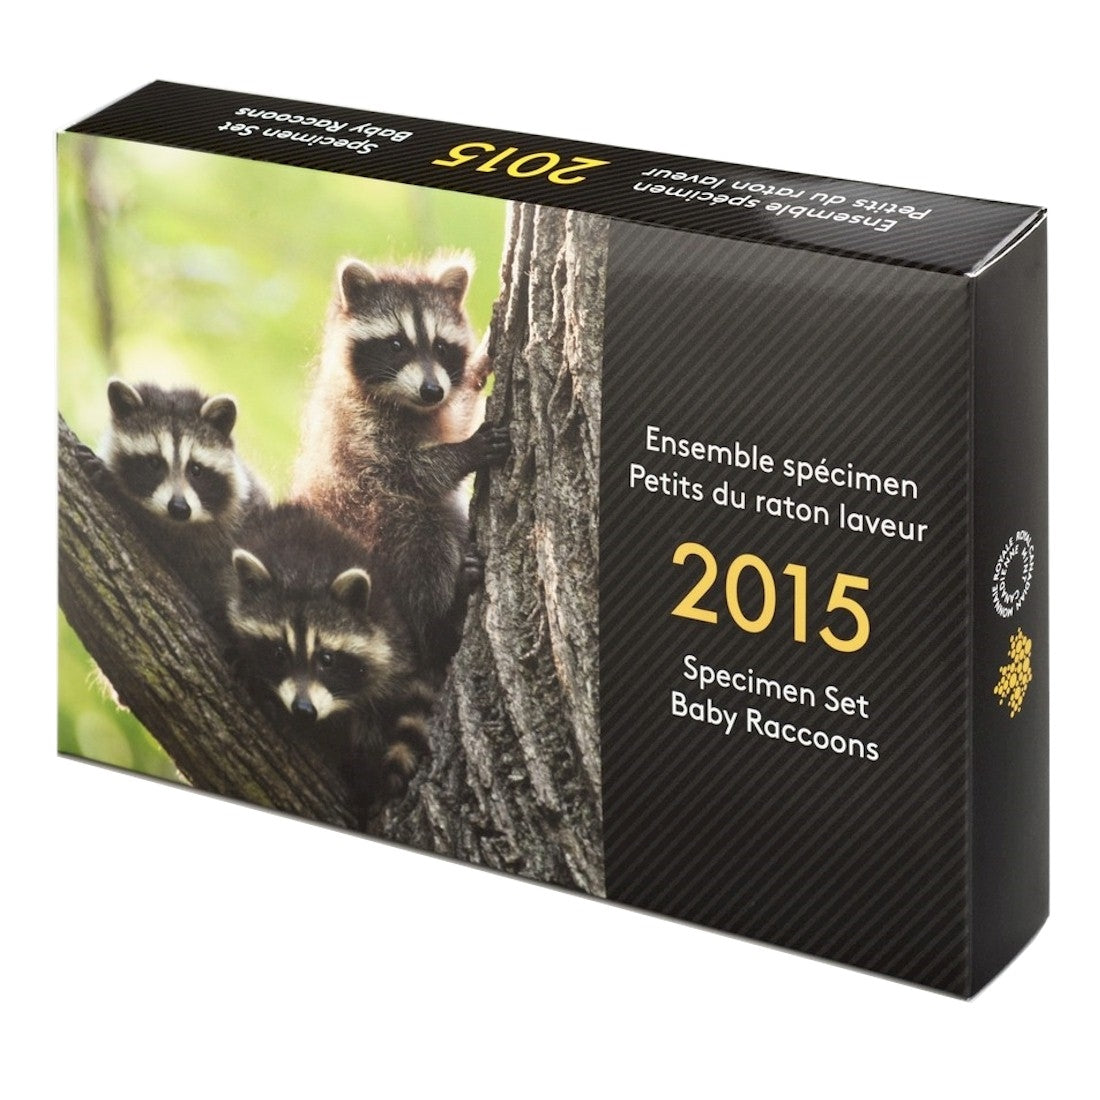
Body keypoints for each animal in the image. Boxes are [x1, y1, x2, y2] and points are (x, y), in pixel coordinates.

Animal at [292, 256, 509, 671]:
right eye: (396, 345)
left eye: (440, 346)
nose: (432, 390)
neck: (408, 404)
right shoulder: (358, 431)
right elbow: (410, 473)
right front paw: (466, 451)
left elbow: (457, 411)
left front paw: (479, 366)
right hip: (374, 531)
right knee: (421, 531)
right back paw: (439, 624)